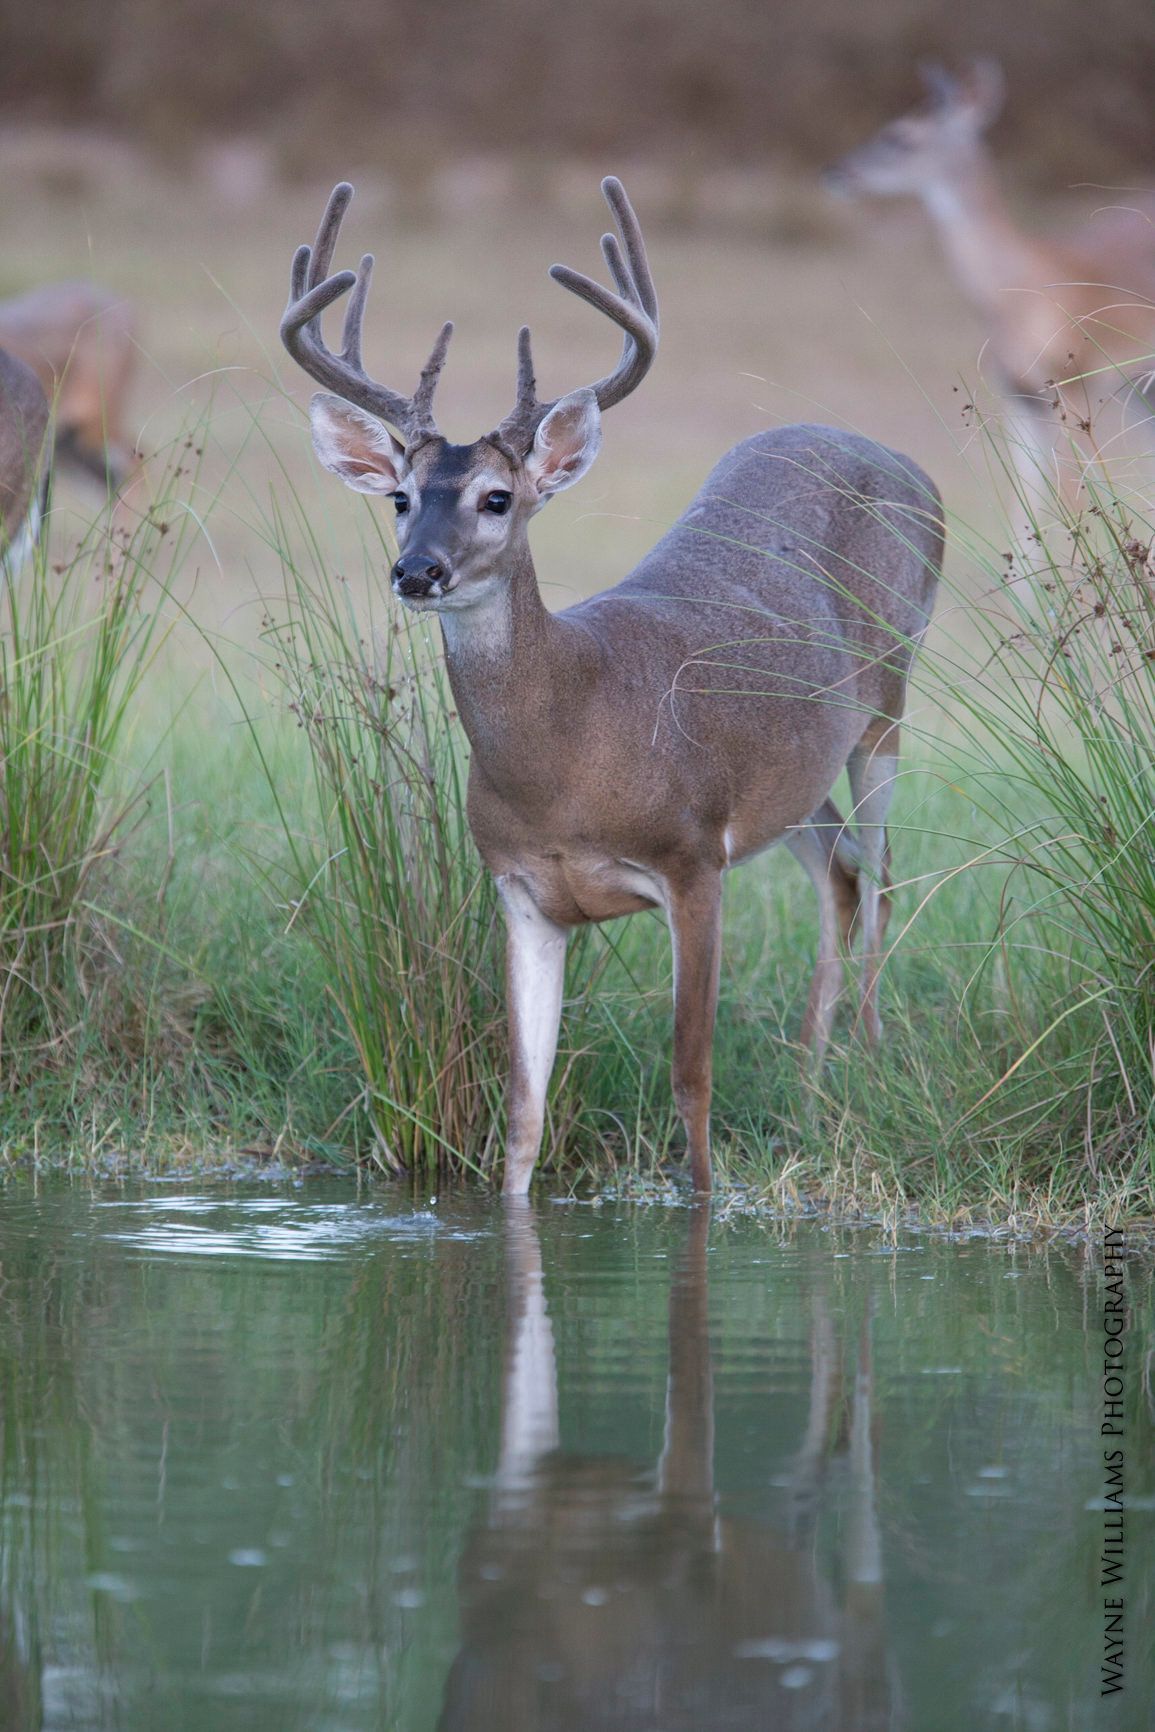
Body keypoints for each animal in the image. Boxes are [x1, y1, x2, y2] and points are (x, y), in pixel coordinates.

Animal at [280, 178, 944, 1196]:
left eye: (497, 498)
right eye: (399, 497)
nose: (416, 572)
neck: (569, 753)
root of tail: (909, 467)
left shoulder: (692, 857)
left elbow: (691, 1079)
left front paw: (703, 1200)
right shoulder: (520, 890)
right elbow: (522, 1108)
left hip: (888, 699)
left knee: (881, 874)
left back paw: (868, 1065)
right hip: (791, 776)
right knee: (836, 868)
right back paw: (809, 1080)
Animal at [826, 60, 1155, 519]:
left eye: (901, 135)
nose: (836, 173)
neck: (1014, 291)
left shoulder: (1073, 382)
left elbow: (1074, 497)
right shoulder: (1018, 395)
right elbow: (1025, 507)